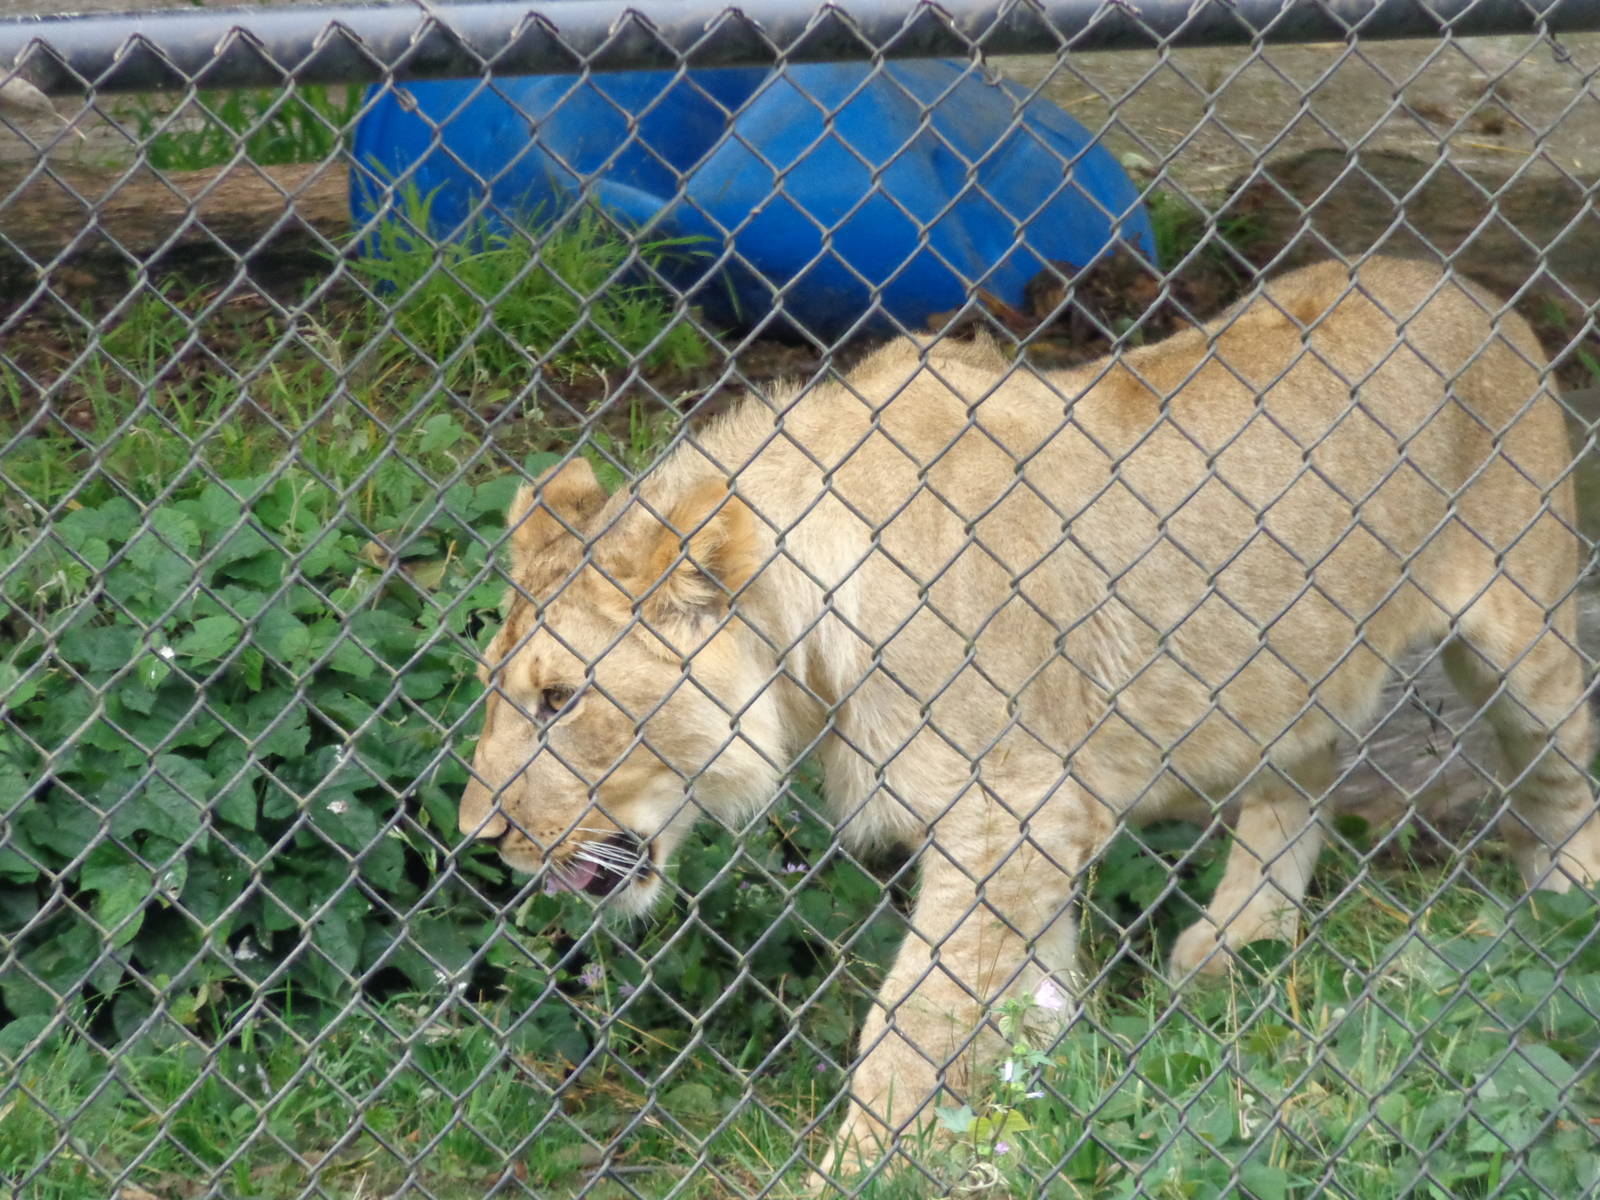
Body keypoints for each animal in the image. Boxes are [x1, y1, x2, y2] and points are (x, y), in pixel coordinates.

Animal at [458, 256, 1600, 1183]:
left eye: (560, 701)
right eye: (497, 687)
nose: (480, 837)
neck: (806, 647)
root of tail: (1474, 292)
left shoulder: (1013, 810)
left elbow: (913, 1019)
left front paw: (858, 1171)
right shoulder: (1032, 818)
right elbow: (1026, 993)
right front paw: (1029, 1114)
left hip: (1519, 626)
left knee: (1560, 761)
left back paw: (1565, 912)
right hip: (1290, 653)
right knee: (1304, 767)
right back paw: (1237, 943)